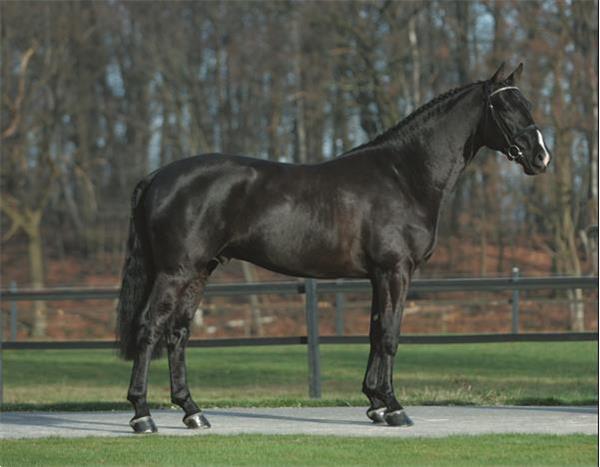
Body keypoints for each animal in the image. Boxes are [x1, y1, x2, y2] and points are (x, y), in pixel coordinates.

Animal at [116, 63, 548, 436]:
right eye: (504, 107)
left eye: (526, 104)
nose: (541, 156)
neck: (403, 175)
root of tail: (157, 176)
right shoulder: (396, 271)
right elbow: (390, 335)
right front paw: (395, 408)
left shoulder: (379, 275)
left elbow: (374, 332)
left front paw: (375, 404)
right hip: (175, 271)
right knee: (150, 328)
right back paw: (142, 415)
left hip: (200, 270)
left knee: (178, 333)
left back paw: (192, 412)